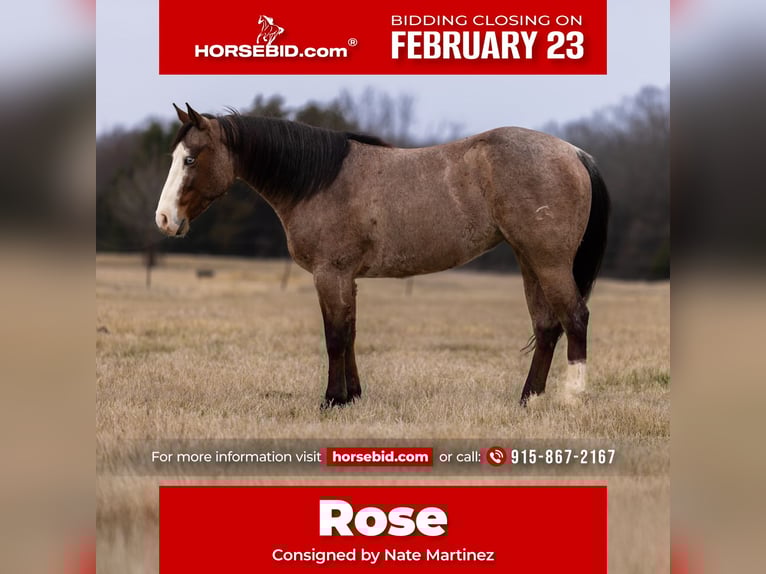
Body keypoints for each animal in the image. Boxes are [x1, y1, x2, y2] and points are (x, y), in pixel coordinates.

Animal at [155, 103, 610, 408]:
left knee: (575, 318)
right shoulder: (347, 278)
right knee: (546, 326)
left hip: (549, 262)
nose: (164, 219)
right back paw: (528, 399)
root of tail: (575, 153)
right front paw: (352, 397)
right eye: (175, 157)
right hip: (528, 260)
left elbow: (335, 336)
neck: (318, 181)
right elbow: (351, 333)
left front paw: (331, 400)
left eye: (190, 158)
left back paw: (571, 397)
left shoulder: (330, 274)